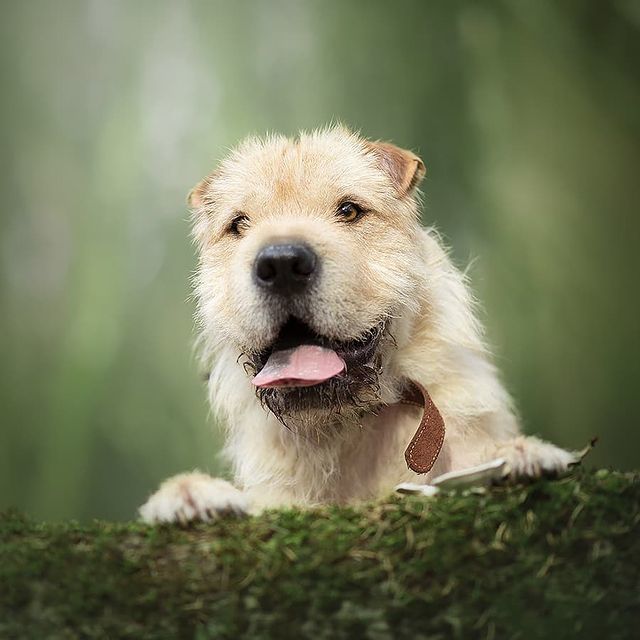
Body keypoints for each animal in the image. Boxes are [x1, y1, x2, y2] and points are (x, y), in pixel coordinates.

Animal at [139, 126, 576, 524]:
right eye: (239, 224)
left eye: (349, 210)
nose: (281, 264)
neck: (347, 425)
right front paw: (190, 494)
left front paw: (517, 455)